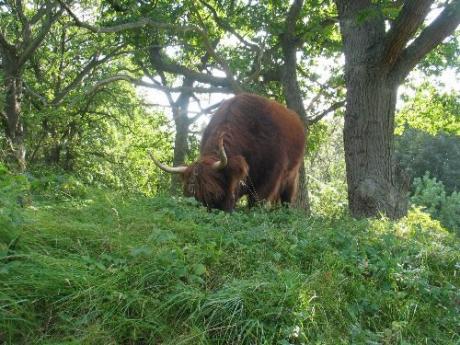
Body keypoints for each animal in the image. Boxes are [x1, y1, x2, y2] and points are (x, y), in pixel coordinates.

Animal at [150, 92, 306, 211]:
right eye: (188, 195)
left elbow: (257, 200)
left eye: (213, 194)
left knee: (287, 198)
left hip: (292, 175)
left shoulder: (270, 175)